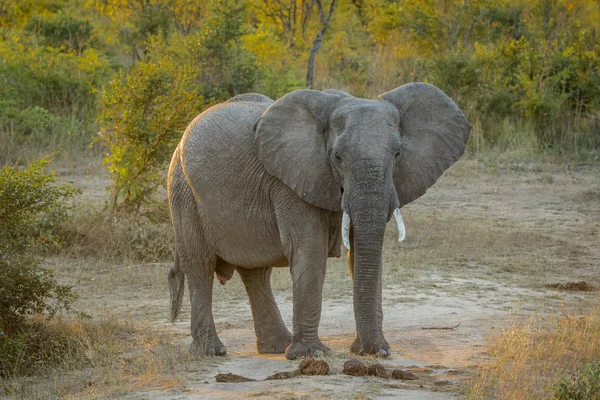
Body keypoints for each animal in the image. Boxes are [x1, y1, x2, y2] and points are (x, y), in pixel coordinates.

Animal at [166, 83, 472, 360]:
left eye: (397, 154)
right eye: (337, 156)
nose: (373, 352)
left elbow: (361, 253)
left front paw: (376, 349)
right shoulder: (290, 181)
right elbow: (310, 250)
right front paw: (311, 355)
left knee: (256, 273)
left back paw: (277, 347)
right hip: (182, 191)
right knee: (200, 264)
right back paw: (212, 352)